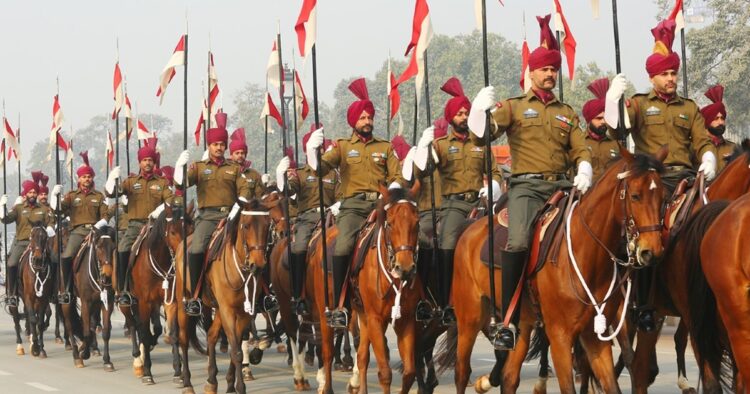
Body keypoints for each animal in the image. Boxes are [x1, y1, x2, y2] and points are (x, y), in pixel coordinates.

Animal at [17, 225, 55, 358]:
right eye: (32, 236)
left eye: (44, 237)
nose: (38, 258)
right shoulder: (28, 297)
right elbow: (33, 319)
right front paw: (35, 348)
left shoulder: (43, 299)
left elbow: (40, 322)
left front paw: (41, 348)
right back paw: (22, 344)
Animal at [346, 182, 424, 394]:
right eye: (390, 223)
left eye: (417, 222)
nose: (405, 268)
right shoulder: (375, 319)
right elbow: (385, 373)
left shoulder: (406, 319)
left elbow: (409, 373)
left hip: (363, 315)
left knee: (362, 356)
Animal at [440, 146, 668, 392]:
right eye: (635, 196)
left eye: (663, 198)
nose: (652, 252)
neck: (586, 254)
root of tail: (469, 228)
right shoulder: (560, 336)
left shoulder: (595, 336)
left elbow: (611, 384)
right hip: (469, 318)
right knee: (462, 372)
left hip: (523, 323)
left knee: (509, 378)